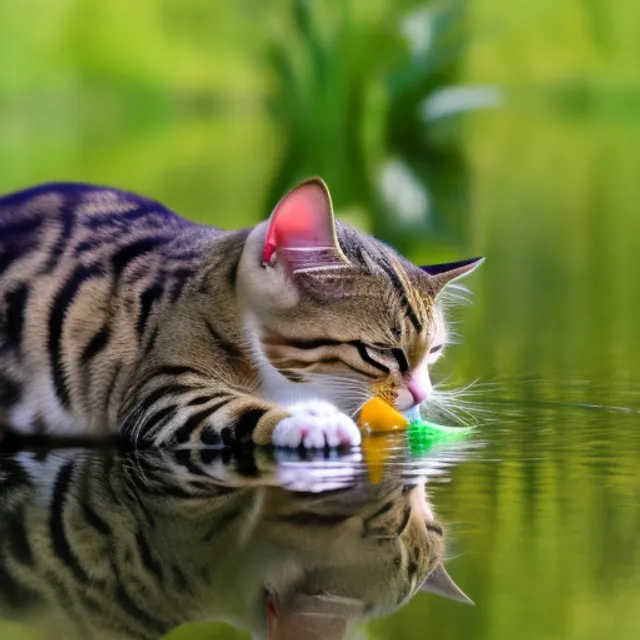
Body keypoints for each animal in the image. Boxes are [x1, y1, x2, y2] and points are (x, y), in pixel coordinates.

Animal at [0, 178, 480, 448]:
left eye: (433, 352)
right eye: (381, 352)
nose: (421, 394)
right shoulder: (162, 387)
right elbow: (227, 410)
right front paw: (307, 423)